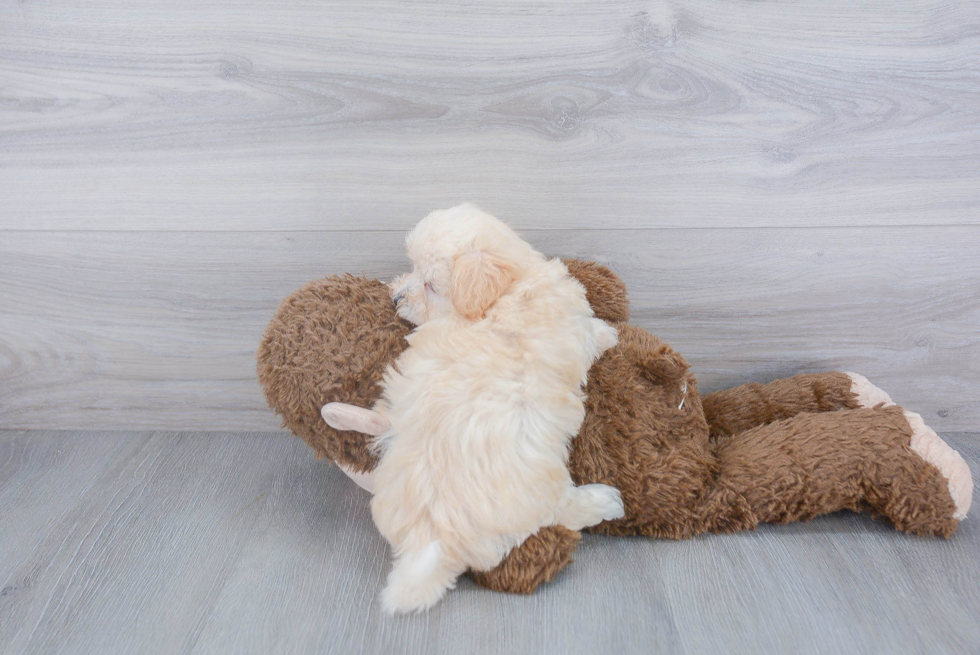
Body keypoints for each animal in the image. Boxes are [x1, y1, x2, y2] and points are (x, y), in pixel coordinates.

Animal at [372, 204, 624, 616]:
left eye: (431, 285)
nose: (395, 298)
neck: (508, 290)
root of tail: (435, 535)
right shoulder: (570, 329)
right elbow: (590, 334)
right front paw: (608, 333)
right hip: (539, 484)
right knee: (558, 512)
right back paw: (604, 501)